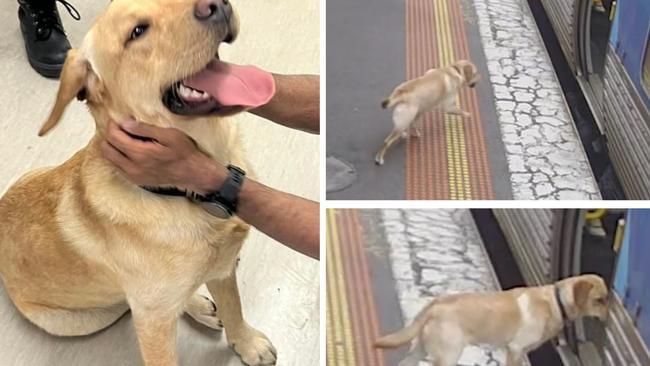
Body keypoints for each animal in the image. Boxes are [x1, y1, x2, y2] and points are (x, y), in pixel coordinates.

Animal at [0, 0, 278, 366]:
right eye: (137, 32)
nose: (218, 5)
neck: (181, 193)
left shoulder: (221, 270)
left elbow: (234, 307)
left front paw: (246, 342)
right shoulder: (153, 322)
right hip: (84, 319)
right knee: (128, 305)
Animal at [374, 274, 608, 366]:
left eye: (606, 298)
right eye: (599, 300)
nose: (607, 319)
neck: (556, 301)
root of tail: (434, 305)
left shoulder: (520, 353)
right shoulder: (515, 349)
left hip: (420, 350)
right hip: (448, 356)